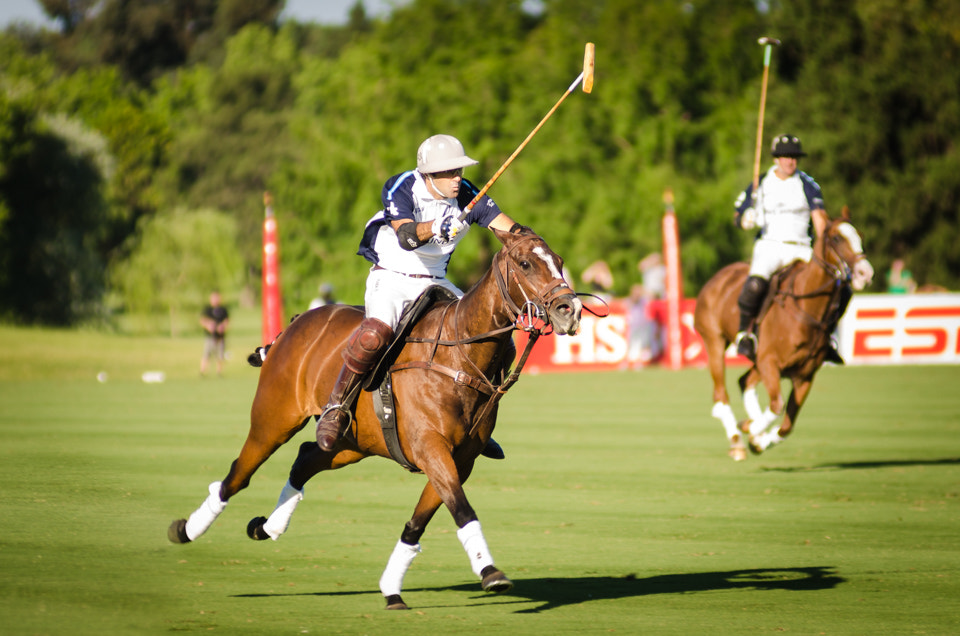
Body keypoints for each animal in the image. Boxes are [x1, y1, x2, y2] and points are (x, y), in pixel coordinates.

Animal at [168, 229, 580, 612]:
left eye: (559, 260)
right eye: (525, 264)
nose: (570, 310)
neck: (459, 357)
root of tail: (296, 321)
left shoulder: (460, 459)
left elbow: (418, 522)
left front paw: (391, 588)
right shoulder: (431, 447)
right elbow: (462, 508)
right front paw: (490, 571)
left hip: (353, 441)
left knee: (307, 456)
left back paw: (267, 526)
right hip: (274, 420)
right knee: (239, 474)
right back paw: (186, 530)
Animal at [692, 209, 872, 462]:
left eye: (860, 235)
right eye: (836, 238)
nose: (866, 272)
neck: (807, 309)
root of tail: (718, 276)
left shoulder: (804, 375)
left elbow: (786, 425)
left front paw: (759, 439)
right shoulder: (770, 362)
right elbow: (776, 406)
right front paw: (750, 428)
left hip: (757, 361)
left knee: (744, 381)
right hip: (715, 341)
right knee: (721, 394)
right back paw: (737, 440)